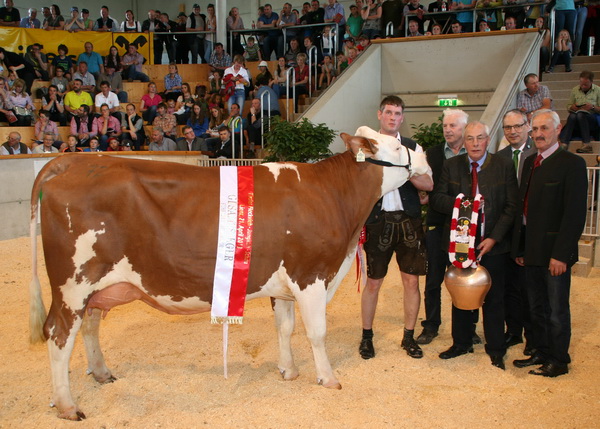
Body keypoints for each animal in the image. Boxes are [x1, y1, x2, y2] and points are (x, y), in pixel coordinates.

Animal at [30, 128, 432, 418]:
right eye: (399, 146)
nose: (427, 159)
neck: (333, 196)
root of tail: (69, 162)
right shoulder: (311, 275)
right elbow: (316, 333)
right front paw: (329, 379)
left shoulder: (283, 284)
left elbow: (284, 328)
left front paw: (288, 371)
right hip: (72, 284)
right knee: (59, 334)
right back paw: (67, 405)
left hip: (97, 287)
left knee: (90, 325)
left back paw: (101, 374)